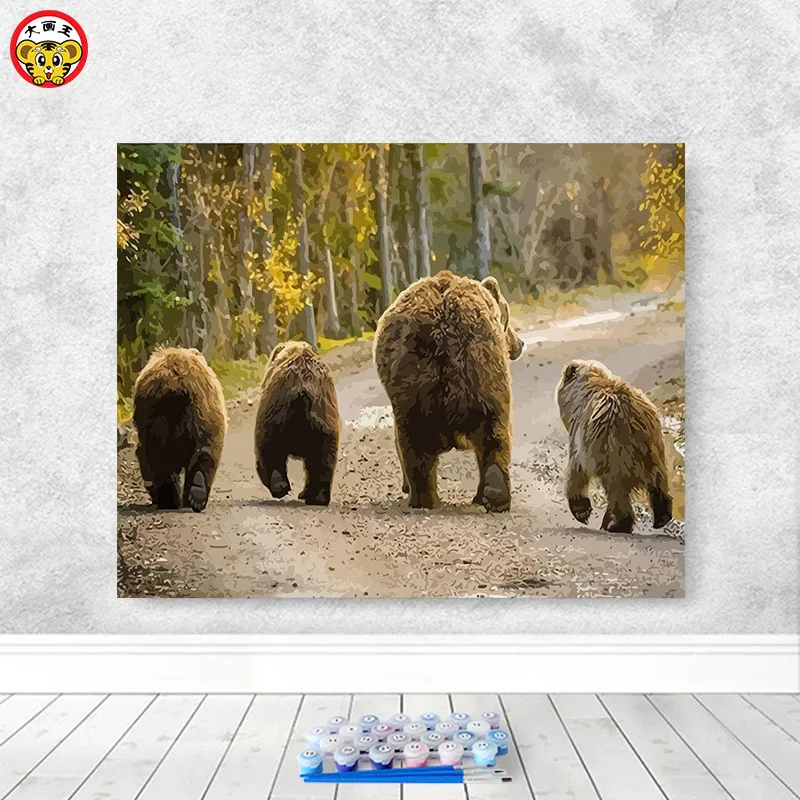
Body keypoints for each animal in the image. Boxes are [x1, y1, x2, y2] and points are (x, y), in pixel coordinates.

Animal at [133, 347, 227, 512]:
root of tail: (177, 384)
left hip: (165, 412)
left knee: (159, 457)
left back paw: (171, 499)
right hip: (202, 409)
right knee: (206, 449)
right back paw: (196, 492)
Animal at [255, 341, 340, 506]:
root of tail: (302, 391)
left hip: (276, 410)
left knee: (268, 448)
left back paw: (280, 486)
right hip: (324, 418)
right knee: (323, 460)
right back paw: (317, 497)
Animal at [373, 270, 525, 512]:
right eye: (507, 317)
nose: (519, 343)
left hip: (419, 382)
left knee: (416, 443)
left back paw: (425, 499)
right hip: (484, 368)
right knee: (495, 432)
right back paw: (493, 496)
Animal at [556, 359, 673, 533]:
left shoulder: (581, 437)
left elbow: (576, 469)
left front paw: (581, 510)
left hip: (613, 448)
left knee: (617, 489)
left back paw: (614, 524)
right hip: (652, 446)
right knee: (657, 479)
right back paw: (661, 517)